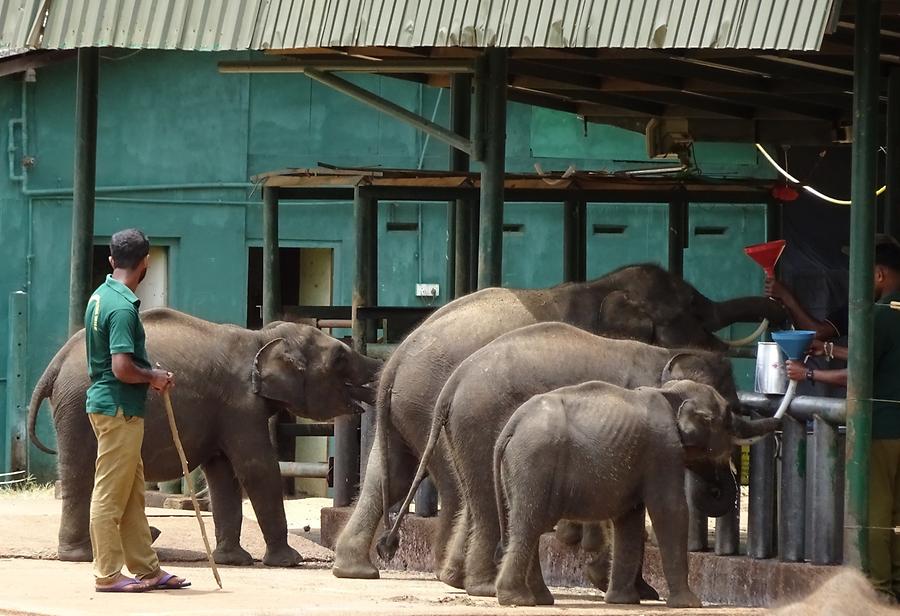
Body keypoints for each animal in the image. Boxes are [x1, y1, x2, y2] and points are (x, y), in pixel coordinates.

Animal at [492, 380, 740, 608]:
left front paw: (623, 601)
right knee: (530, 524)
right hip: (535, 462)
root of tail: (512, 424)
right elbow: (670, 510)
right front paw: (689, 604)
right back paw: (517, 599)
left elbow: (629, 519)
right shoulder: (663, 450)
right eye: (728, 427)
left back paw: (538, 599)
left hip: (520, 467)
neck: (671, 392)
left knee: (529, 527)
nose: (715, 488)